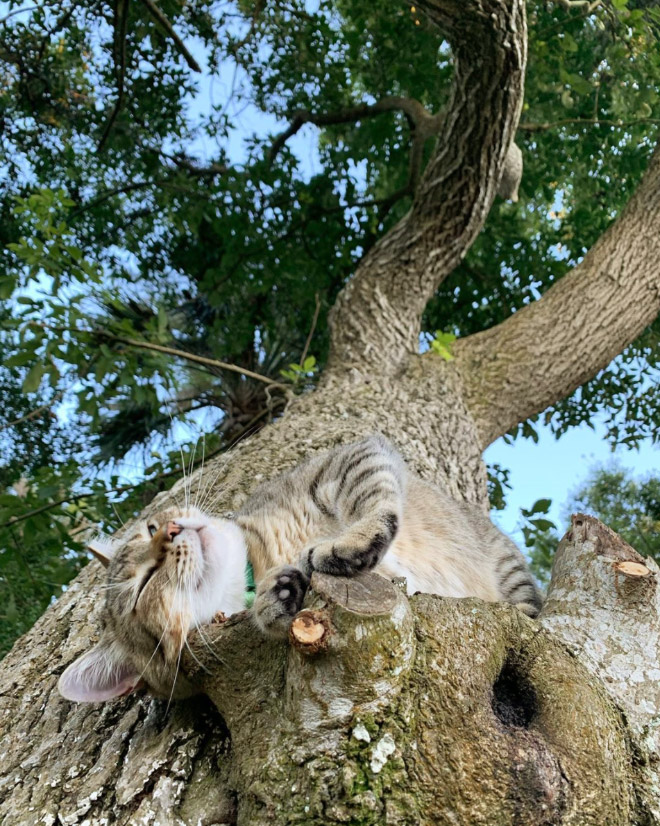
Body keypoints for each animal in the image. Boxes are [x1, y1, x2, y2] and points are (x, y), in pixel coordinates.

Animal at [58, 432, 540, 700]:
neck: (260, 559)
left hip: (507, 566)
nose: (172, 530)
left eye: (150, 525)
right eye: (142, 587)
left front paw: (353, 541)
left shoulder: (347, 459)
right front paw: (274, 601)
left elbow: (374, 494)